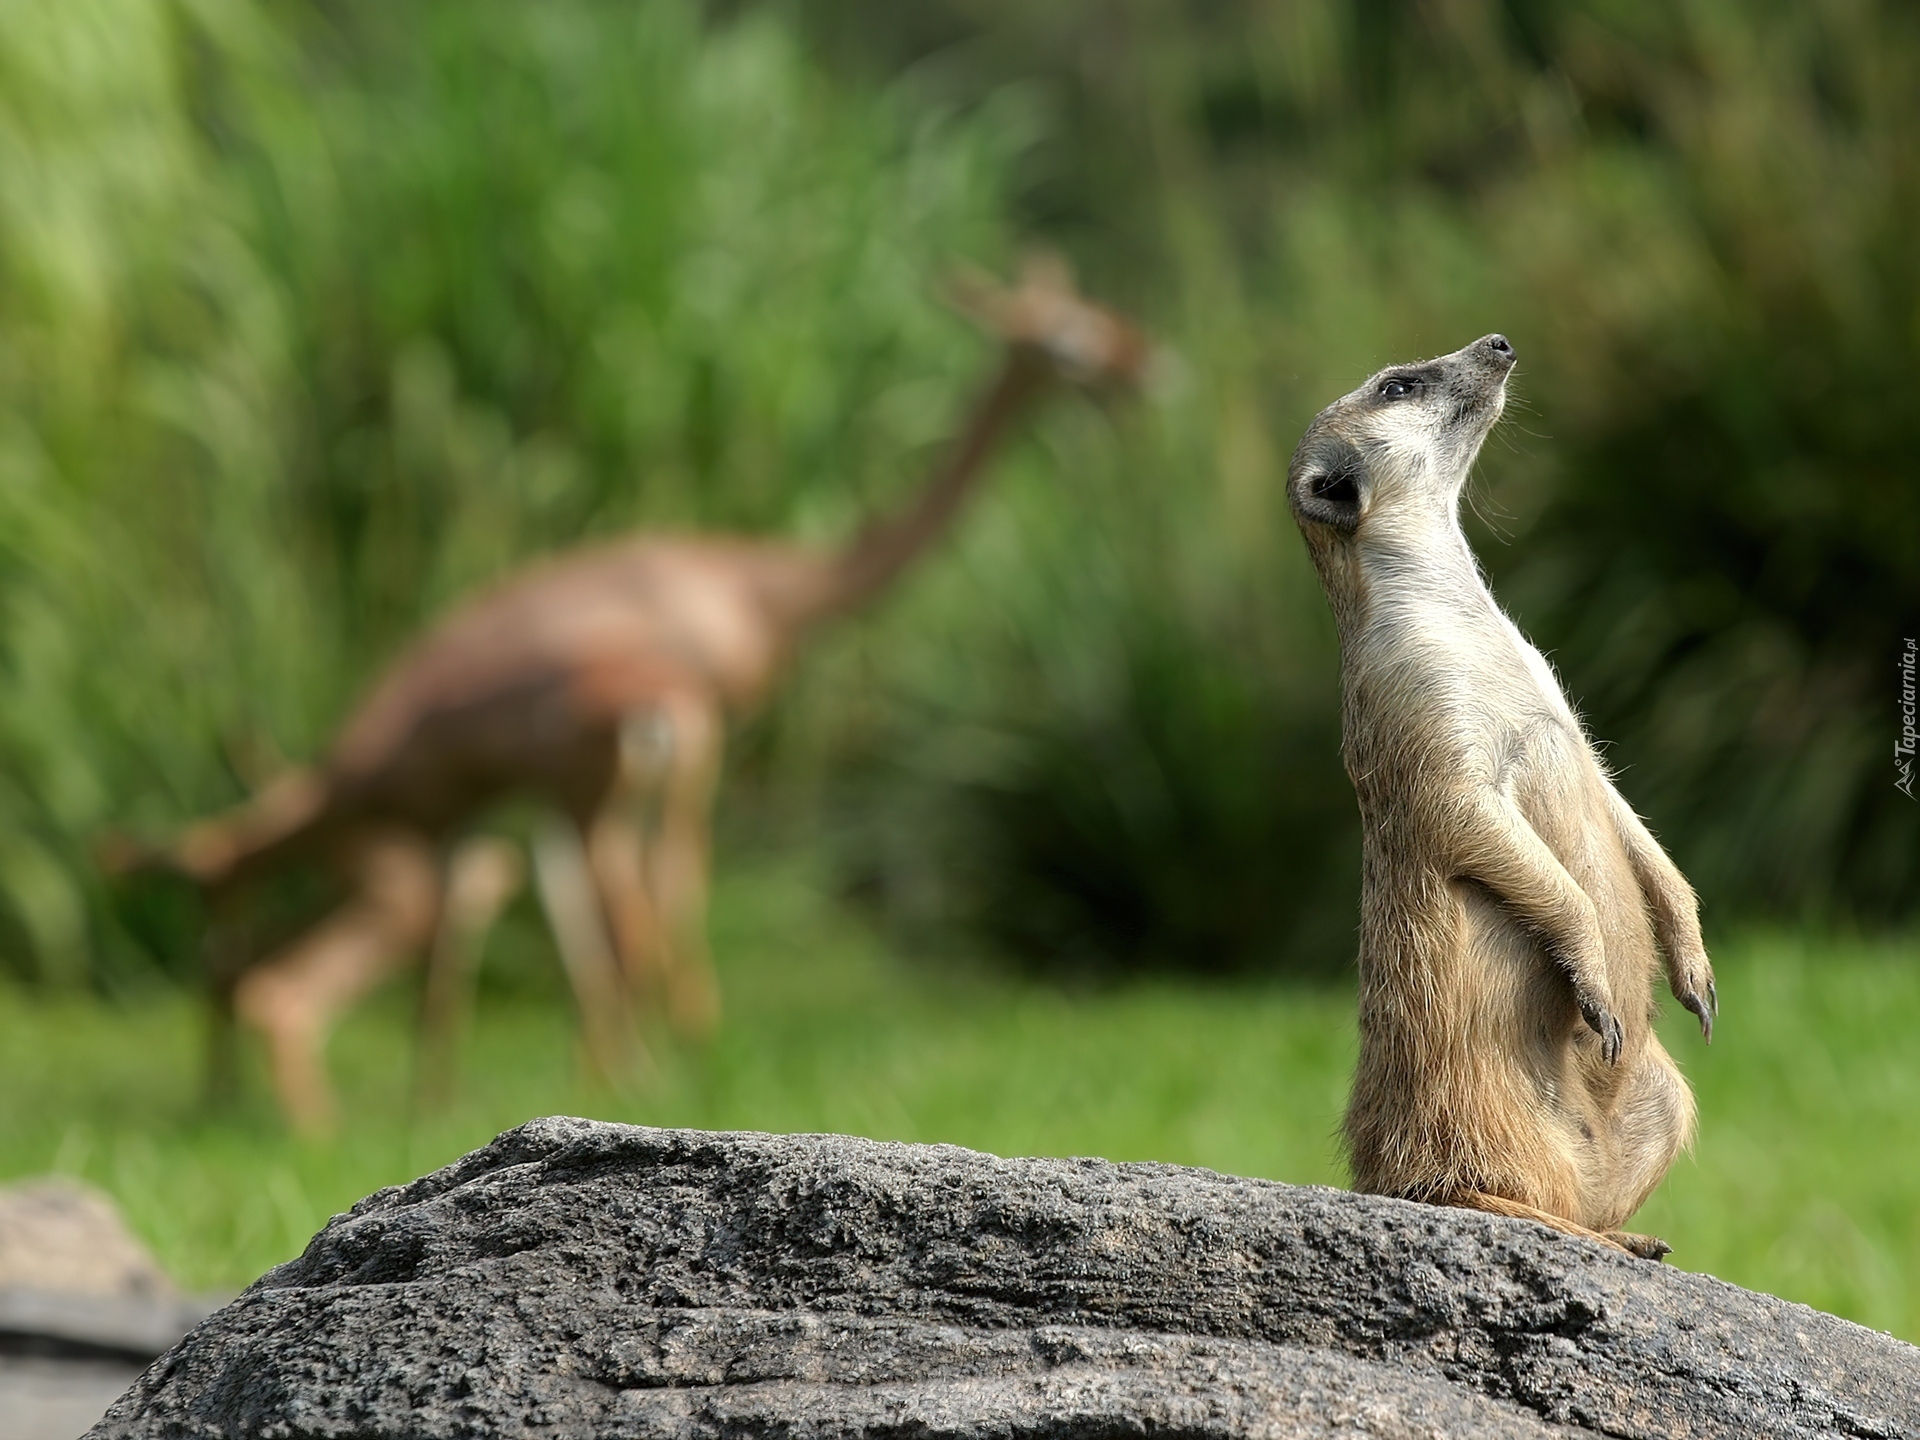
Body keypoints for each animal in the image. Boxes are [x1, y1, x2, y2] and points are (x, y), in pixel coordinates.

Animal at [116, 264, 1136, 1136]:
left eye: (1092, 326)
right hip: (568, 806)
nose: (1139, 365)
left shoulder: (532, 808)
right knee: (611, 921)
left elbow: (571, 932)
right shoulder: (628, 775)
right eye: (1067, 337)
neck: (764, 586)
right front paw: (633, 1070)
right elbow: (630, 913)